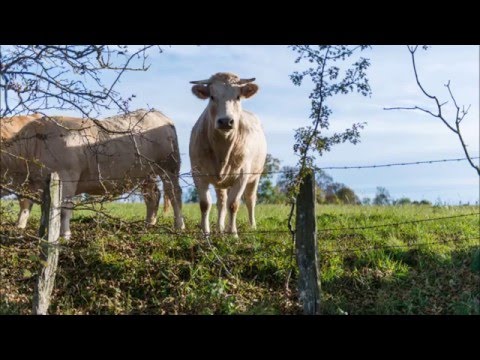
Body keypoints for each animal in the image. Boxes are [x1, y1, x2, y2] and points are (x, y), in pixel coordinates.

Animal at [0, 109, 186, 239]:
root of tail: (159, 115)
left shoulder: (67, 177)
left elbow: (64, 208)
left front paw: (64, 235)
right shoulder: (42, 185)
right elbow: (46, 209)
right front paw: (44, 233)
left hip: (169, 167)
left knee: (174, 193)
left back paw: (179, 226)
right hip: (147, 173)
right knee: (153, 196)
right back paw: (149, 224)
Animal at [188, 73, 270, 236]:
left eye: (238, 97)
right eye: (212, 96)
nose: (226, 121)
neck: (222, 150)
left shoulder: (243, 174)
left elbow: (234, 204)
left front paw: (233, 234)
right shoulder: (198, 172)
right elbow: (205, 204)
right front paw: (205, 233)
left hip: (256, 175)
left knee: (250, 199)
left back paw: (252, 226)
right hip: (221, 182)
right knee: (221, 201)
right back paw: (220, 228)